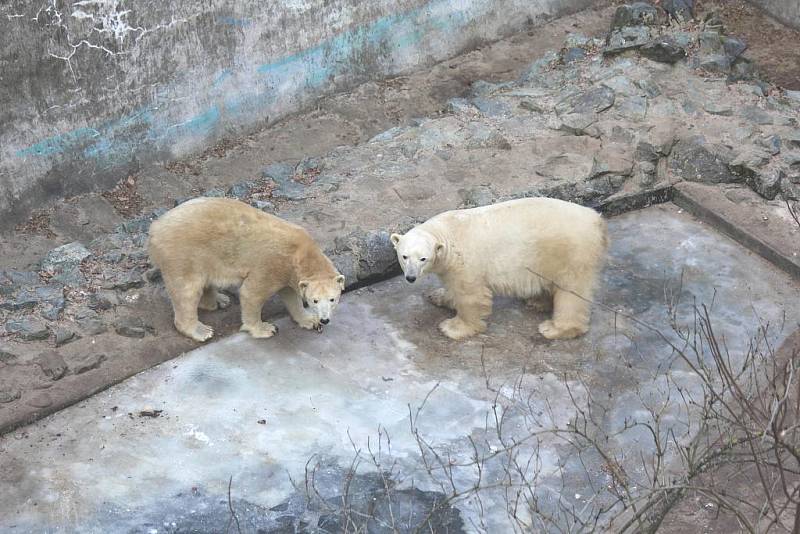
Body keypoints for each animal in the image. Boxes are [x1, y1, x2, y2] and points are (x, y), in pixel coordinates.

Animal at [148, 198, 346, 344]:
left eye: (333, 299)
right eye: (314, 300)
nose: (324, 319)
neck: (301, 253)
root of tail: (154, 228)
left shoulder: (287, 273)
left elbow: (290, 295)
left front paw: (309, 320)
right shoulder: (271, 264)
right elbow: (251, 294)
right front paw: (266, 329)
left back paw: (219, 300)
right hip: (183, 255)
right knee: (187, 291)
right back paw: (201, 330)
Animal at [390, 199, 608, 342]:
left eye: (423, 259)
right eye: (404, 256)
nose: (411, 277)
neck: (446, 233)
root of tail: (597, 220)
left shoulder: (466, 261)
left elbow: (471, 295)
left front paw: (452, 327)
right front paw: (438, 296)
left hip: (573, 251)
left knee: (571, 291)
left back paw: (554, 328)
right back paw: (537, 301)